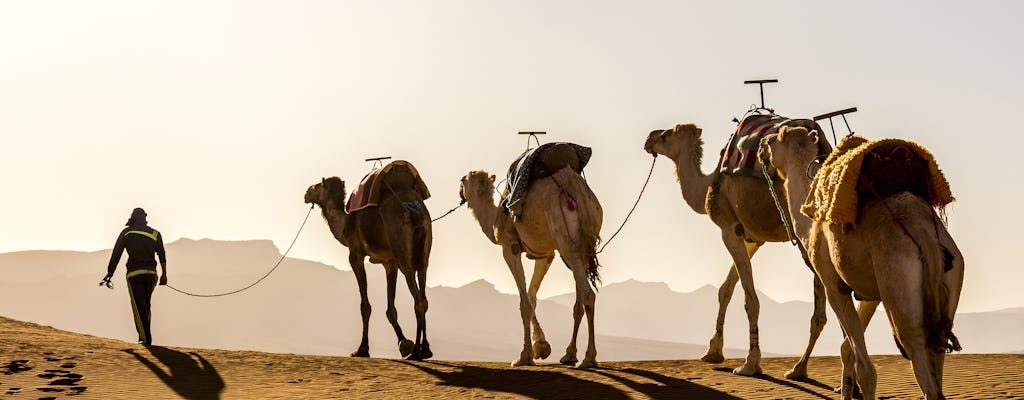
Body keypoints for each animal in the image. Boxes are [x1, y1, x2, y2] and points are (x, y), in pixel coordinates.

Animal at [303, 164, 432, 362]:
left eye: (317, 186)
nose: (306, 193)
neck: (345, 224)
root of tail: (414, 207)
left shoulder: (355, 254)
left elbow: (365, 306)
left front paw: (362, 349)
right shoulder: (389, 261)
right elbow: (390, 309)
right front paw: (403, 343)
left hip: (403, 253)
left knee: (417, 299)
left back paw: (416, 352)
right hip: (423, 254)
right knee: (424, 297)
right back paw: (425, 349)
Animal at [460, 167, 602, 368]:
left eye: (462, 181)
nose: (460, 193)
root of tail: (580, 193)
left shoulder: (510, 247)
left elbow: (524, 303)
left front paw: (524, 356)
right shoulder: (545, 254)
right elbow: (532, 296)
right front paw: (541, 346)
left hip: (566, 241)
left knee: (588, 295)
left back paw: (589, 358)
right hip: (582, 245)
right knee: (579, 301)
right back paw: (569, 354)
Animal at [647, 122, 831, 378]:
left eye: (665, 135)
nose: (649, 139)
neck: (709, 184)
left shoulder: (728, 229)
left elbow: (750, 300)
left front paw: (750, 362)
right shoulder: (751, 238)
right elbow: (725, 289)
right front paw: (713, 351)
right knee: (821, 311)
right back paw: (799, 368)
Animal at [765, 126, 962, 398]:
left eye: (778, 136)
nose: (763, 141)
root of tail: (925, 238)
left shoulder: (833, 284)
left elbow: (865, 368)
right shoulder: (869, 292)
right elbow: (847, 349)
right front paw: (845, 389)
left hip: (899, 284)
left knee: (918, 359)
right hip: (950, 283)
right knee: (938, 357)